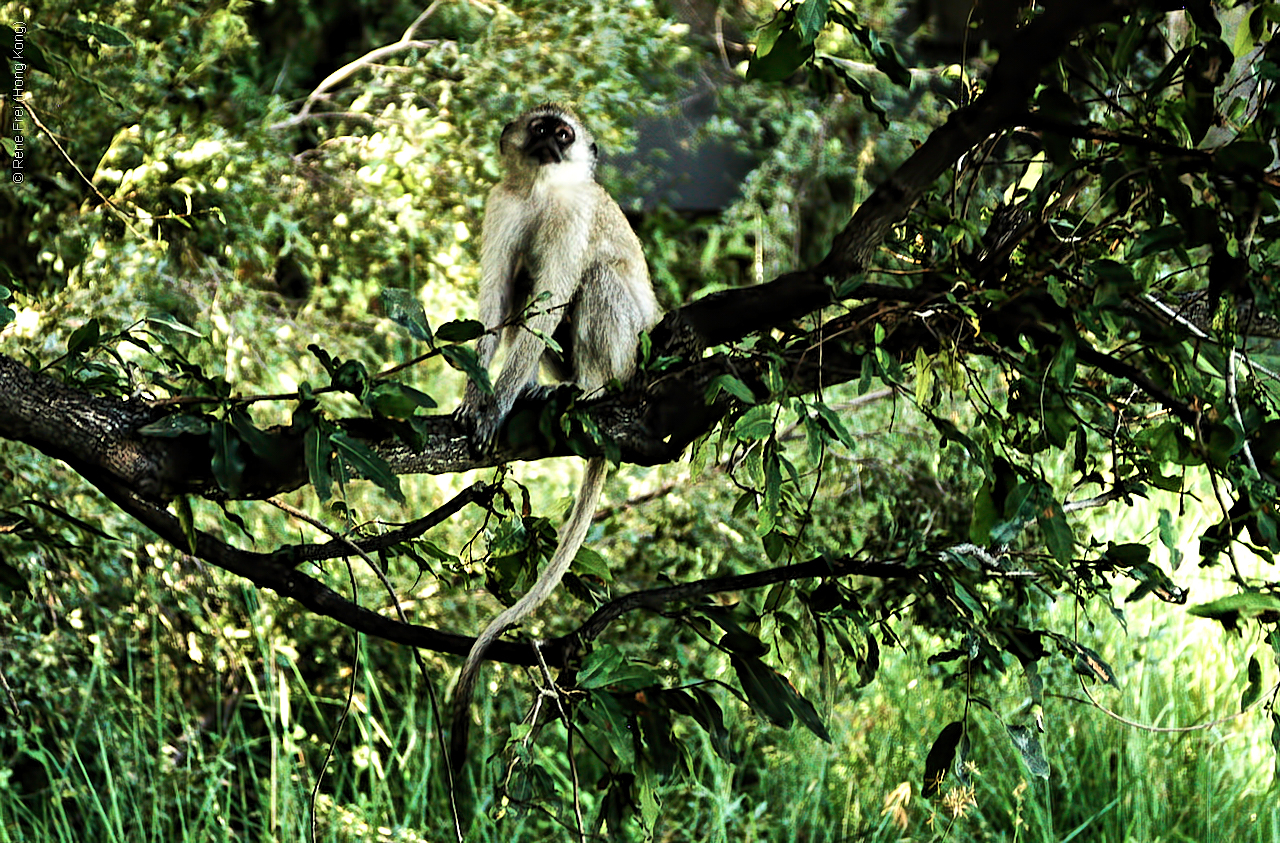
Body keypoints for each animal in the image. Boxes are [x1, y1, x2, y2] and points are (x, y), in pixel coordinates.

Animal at [455, 102, 660, 767]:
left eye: (563, 134)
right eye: (541, 128)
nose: (551, 142)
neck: (540, 192)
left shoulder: (572, 214)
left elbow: (547, 303)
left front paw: (493, 406)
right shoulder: (502, 203)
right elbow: (497, 305)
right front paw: (477, 396)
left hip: (631, 346)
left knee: (595, 278)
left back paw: (588, 390)